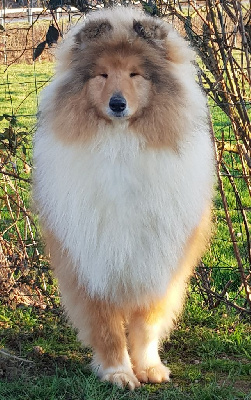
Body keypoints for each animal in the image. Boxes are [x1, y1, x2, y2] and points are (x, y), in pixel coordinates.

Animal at [32, 4, 214, 390]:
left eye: (135, 74)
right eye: (102, 75)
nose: (118, 104)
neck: (120, 145)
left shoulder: (157, 260)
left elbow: (146, 325)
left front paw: (148, 368)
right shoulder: (90, 263)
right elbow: (107, 328)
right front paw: (118, 372)